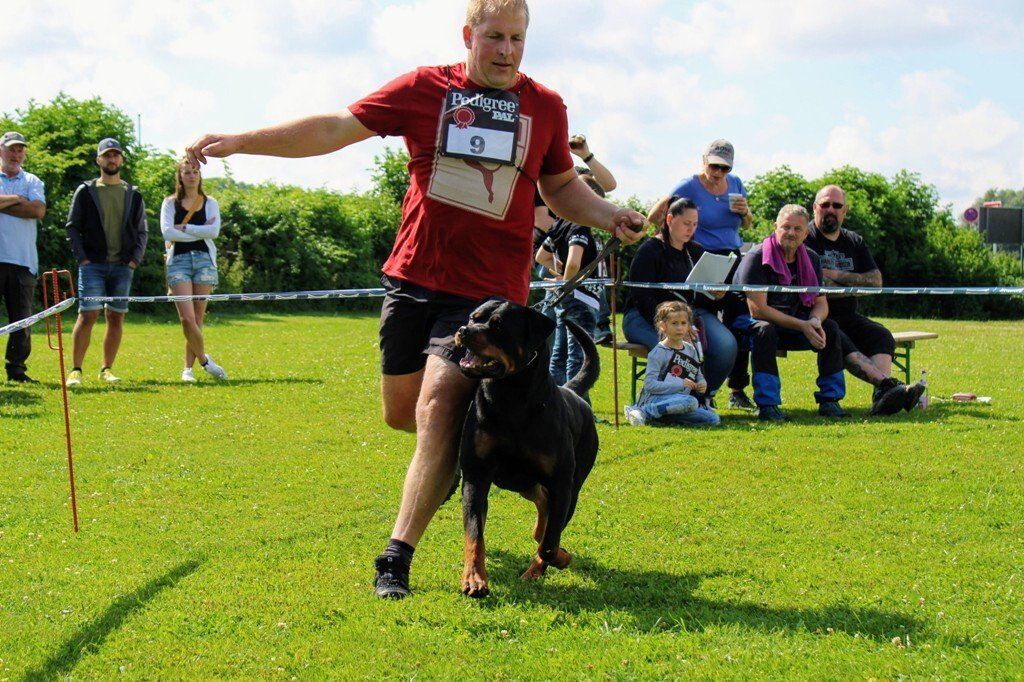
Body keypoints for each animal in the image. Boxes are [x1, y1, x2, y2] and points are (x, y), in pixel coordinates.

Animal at [453, 298, 599, 598]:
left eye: (498, 326)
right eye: (473, 317)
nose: (464, 330)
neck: (511, 399)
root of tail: (573, 391)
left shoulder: (561, 484)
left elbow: (550, 545)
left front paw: (561, 558)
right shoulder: (475, 476)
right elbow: (474, 533)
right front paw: (474, 578)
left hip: (572, 485)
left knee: (551, 523)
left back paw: (536, 568)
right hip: (521, 481)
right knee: (542, 505)